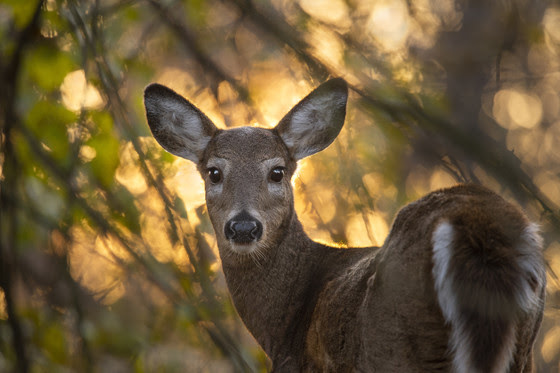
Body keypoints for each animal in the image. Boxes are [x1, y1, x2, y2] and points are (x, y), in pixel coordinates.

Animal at [142, 77, 544, 370]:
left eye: (277, 171)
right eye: (214, 172)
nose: (243, 227)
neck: (283, 326)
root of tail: (475, 223)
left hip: (397, 341)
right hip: (524, 345)